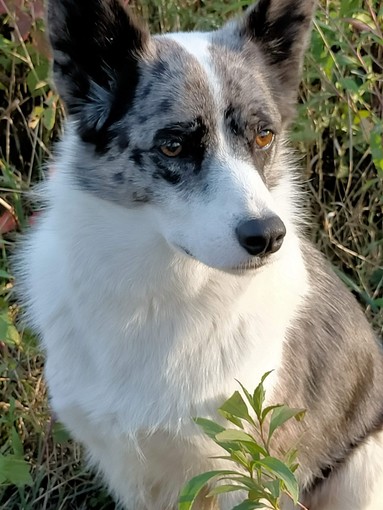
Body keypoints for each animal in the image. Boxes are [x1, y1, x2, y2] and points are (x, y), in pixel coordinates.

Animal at [16, 0, 383, 508]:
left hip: (365, 464)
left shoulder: (251, 473)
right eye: (173, 145)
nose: (268, 236)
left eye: (265, 136)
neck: (161, 294)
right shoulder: (132, 472)